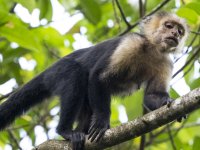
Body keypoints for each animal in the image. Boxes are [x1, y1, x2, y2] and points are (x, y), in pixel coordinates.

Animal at [0, 11, 189, 149]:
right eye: (169, 26)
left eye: (180, 31)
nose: (175, 34)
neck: (151, 48)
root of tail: (51, 68)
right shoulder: (130, 43)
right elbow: (98, 77)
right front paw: (101, 122)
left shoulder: (164, 61)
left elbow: (152, 96)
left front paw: (166, 102)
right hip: (59, 72)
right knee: (75, 75)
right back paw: (65, 131)